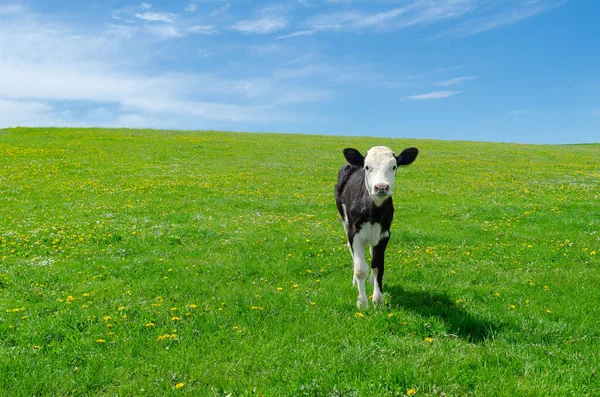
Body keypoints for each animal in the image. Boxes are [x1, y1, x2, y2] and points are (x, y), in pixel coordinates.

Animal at [336, 145, 420, 306]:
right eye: (367, 167)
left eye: (394, 167)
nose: (381, 187)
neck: (373, 211)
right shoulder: (354, 233)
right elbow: (360, 269)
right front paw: (362, 302)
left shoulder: (384, 234)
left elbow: (378, 265)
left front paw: (378, 298)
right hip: (344, 221)